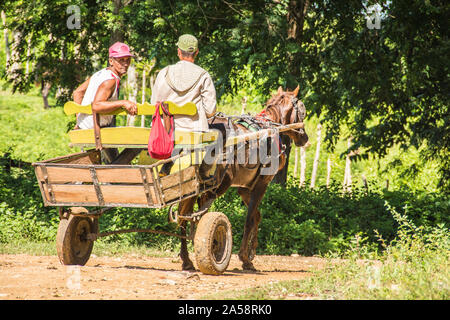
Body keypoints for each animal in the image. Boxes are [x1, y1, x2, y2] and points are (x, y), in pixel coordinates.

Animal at [177, 84, 310, 270]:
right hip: (218, 185)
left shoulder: (244, 188)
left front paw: (252, 253)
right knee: (196, 214)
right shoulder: (262, 183)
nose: (304, 137)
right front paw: (245, 258)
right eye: (302, 112)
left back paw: (187, 259)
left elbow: (256, 216)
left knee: (183, 216)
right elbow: (249, 219)